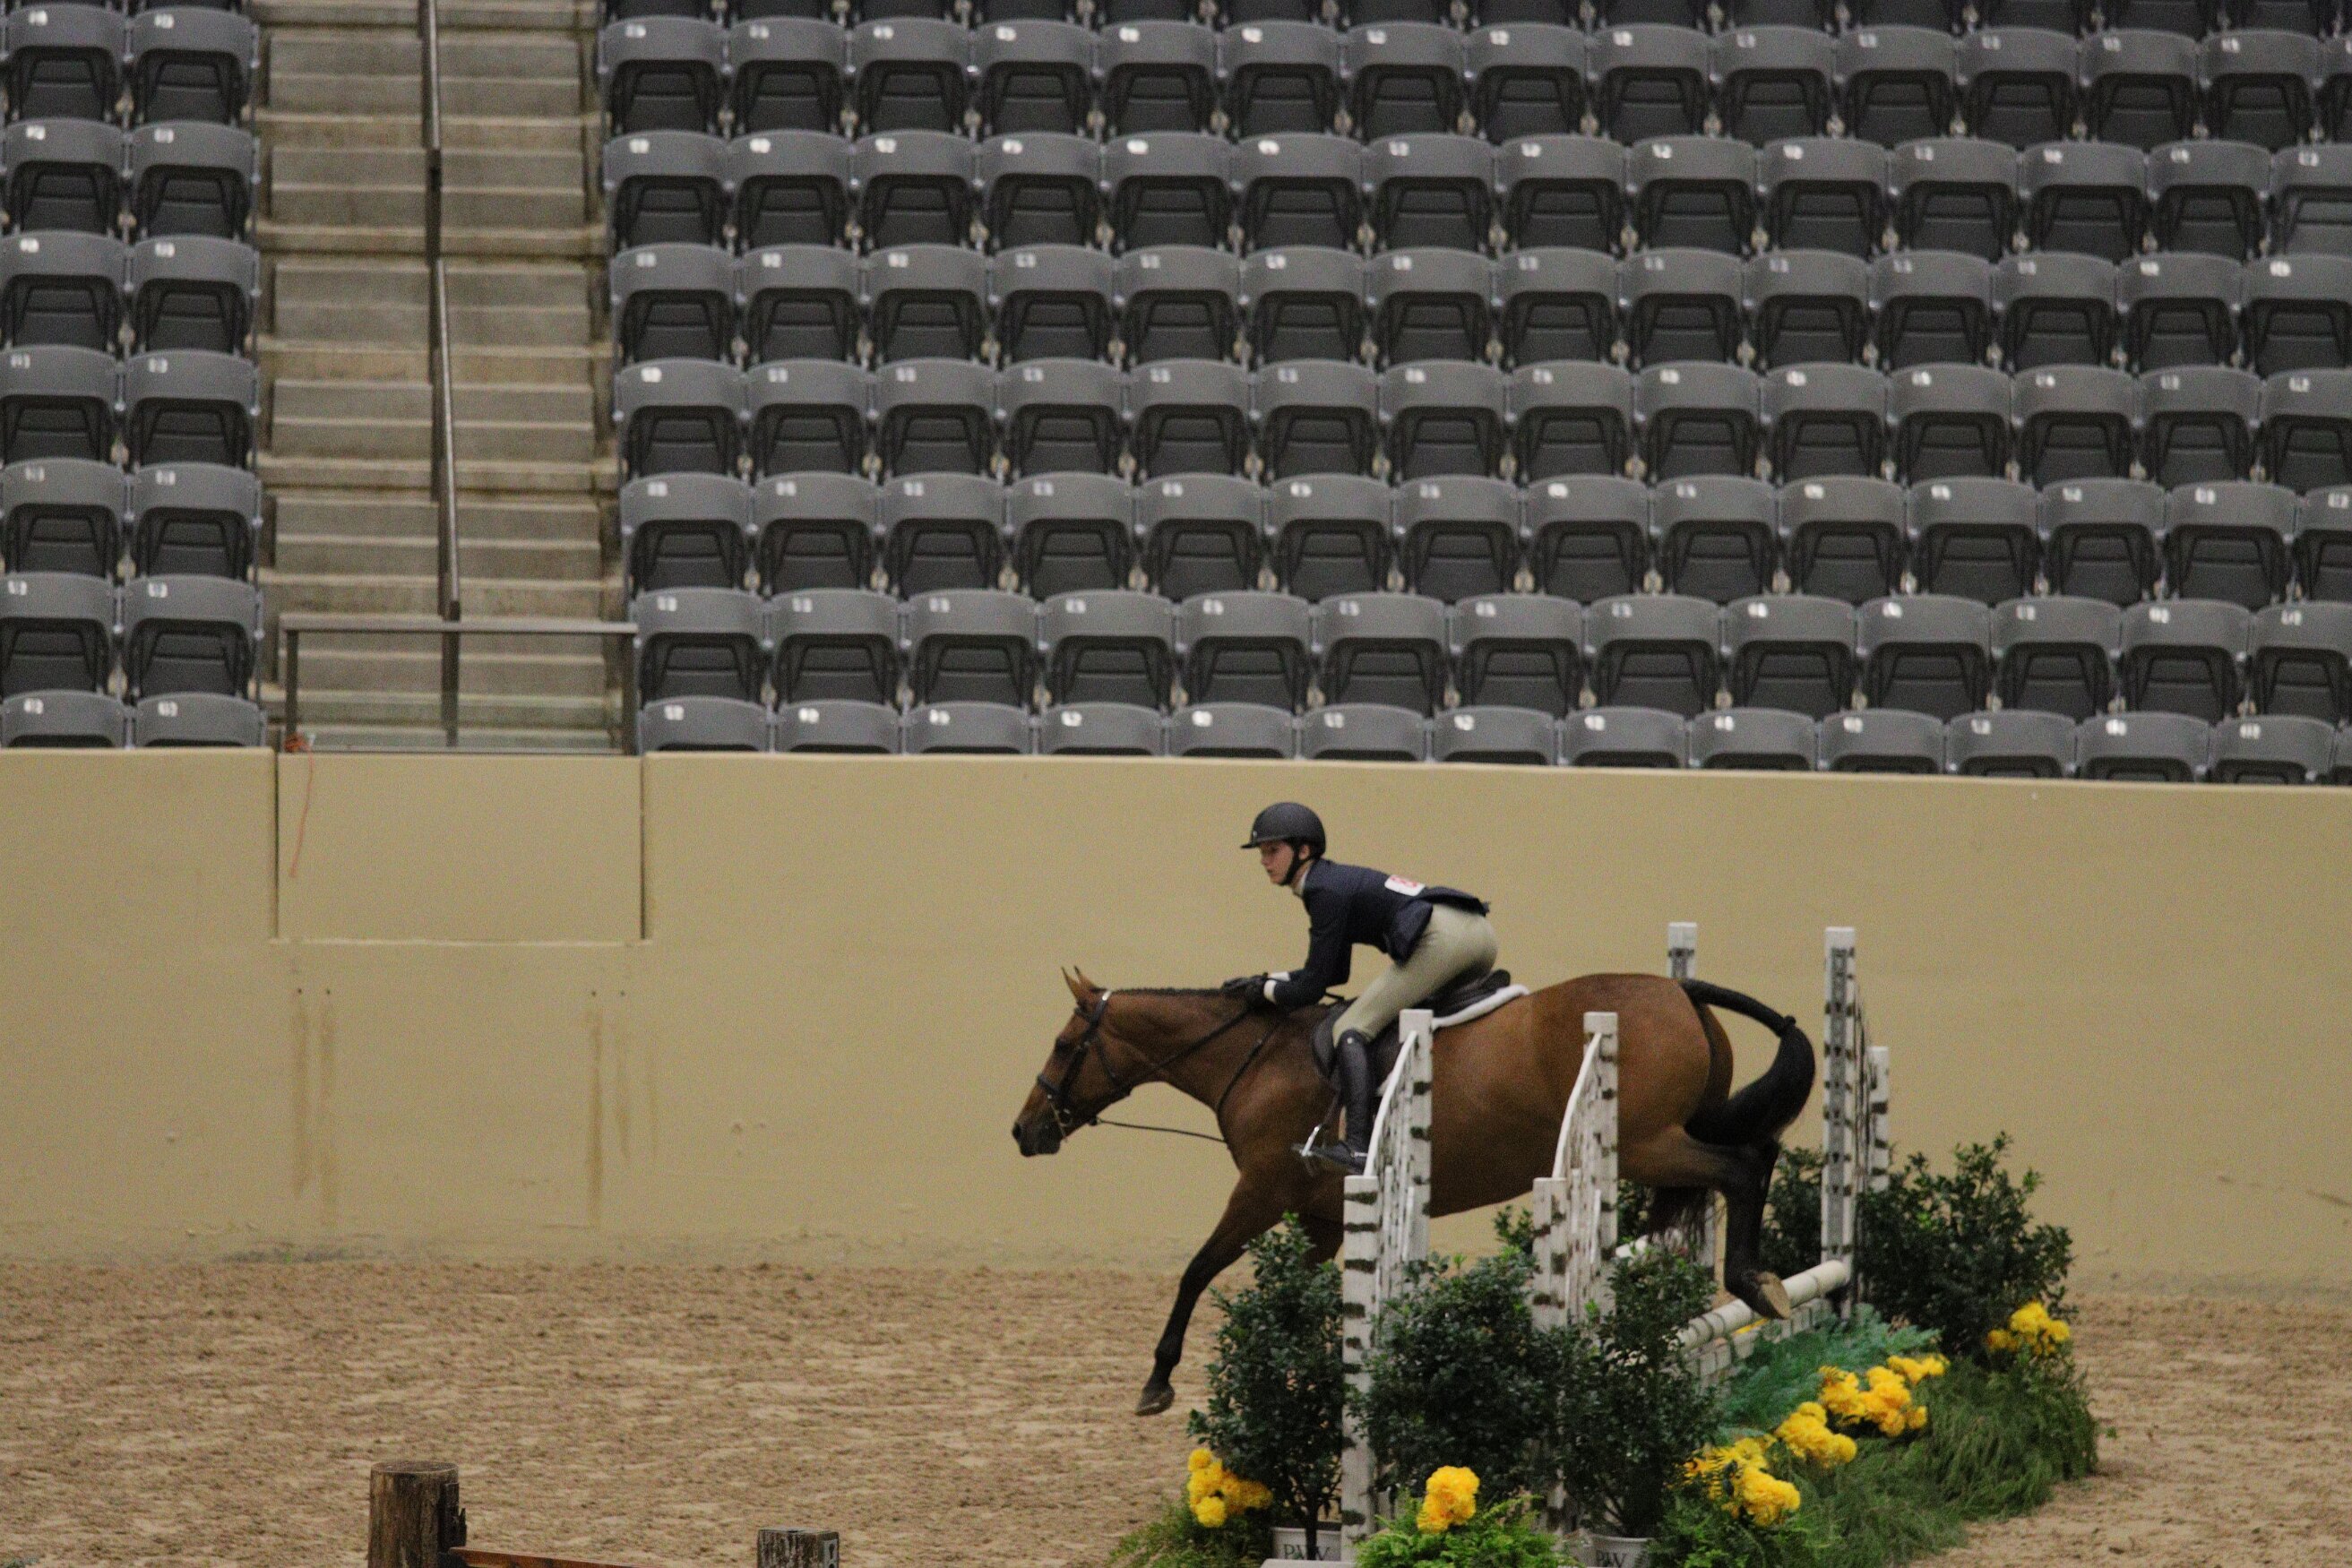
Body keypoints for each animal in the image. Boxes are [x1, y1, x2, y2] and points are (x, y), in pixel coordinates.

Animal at [1012, 967, 1817, 1417]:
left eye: (1062, 1046)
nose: (1024, 1131)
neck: (1256, 1059)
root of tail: (1679, 988)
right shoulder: (1319, 1220)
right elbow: (1288, 1294)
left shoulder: (1261, 1193)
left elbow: (1197, 1271)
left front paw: (1158, 1380)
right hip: (1673, 1134)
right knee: (1757, 1151)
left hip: (1649, 1143)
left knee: (1743, 1166)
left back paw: (1756, 1284)